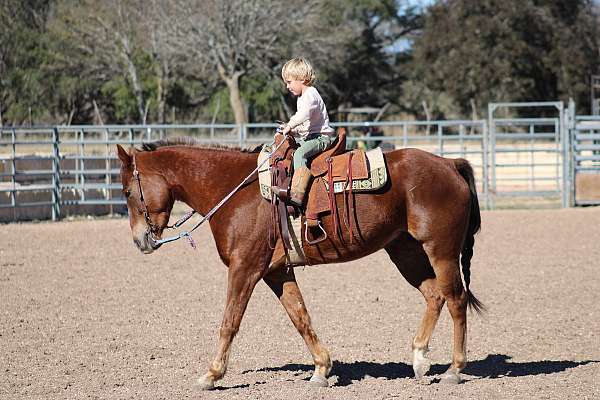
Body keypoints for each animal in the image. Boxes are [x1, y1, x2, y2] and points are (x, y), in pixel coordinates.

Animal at [116, 139, 482, 390]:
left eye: (128, 192)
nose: (139, 241)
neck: (235, 191)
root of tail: (450, 164)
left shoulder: (244, 268)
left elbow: (230, 322)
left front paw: (211, 374)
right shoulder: (276, 272)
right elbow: (300, 316)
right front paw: (321, 369)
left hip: (441, 250)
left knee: (456, 299)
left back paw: (454, 369)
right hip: (404, 250)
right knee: (434, 295)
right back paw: (419, 360)